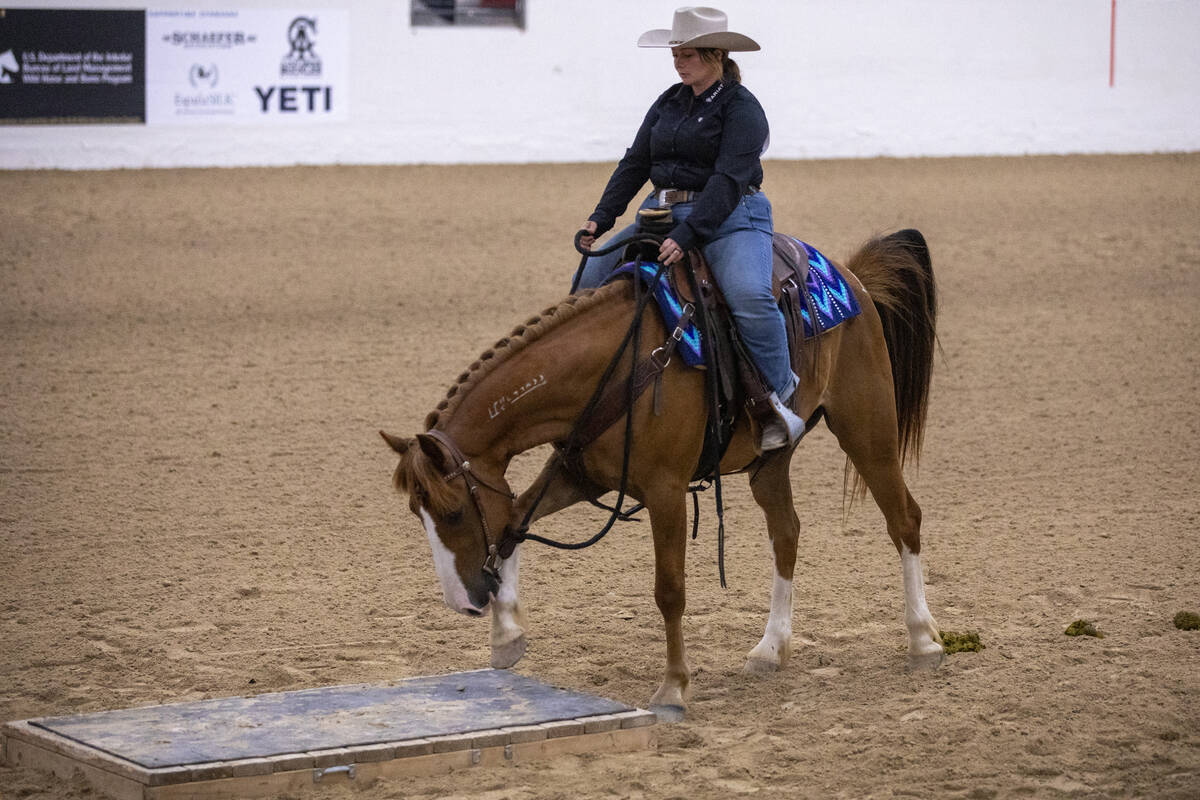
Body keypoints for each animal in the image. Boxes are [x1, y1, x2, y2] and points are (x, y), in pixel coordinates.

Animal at [379, 230, 940, 719]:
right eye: (416, 512)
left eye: (453, 512)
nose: (463, 602)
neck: (619, 364)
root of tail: (851, 276)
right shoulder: (582, 474)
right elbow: (514, 523)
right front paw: (507, 637)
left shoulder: (665, 492)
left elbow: (669, 589)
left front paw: (672, 689)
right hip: (771, 461)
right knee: (787, 533)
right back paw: (770, 648)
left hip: (867, 428)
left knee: (903, 518)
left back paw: (923, 638)